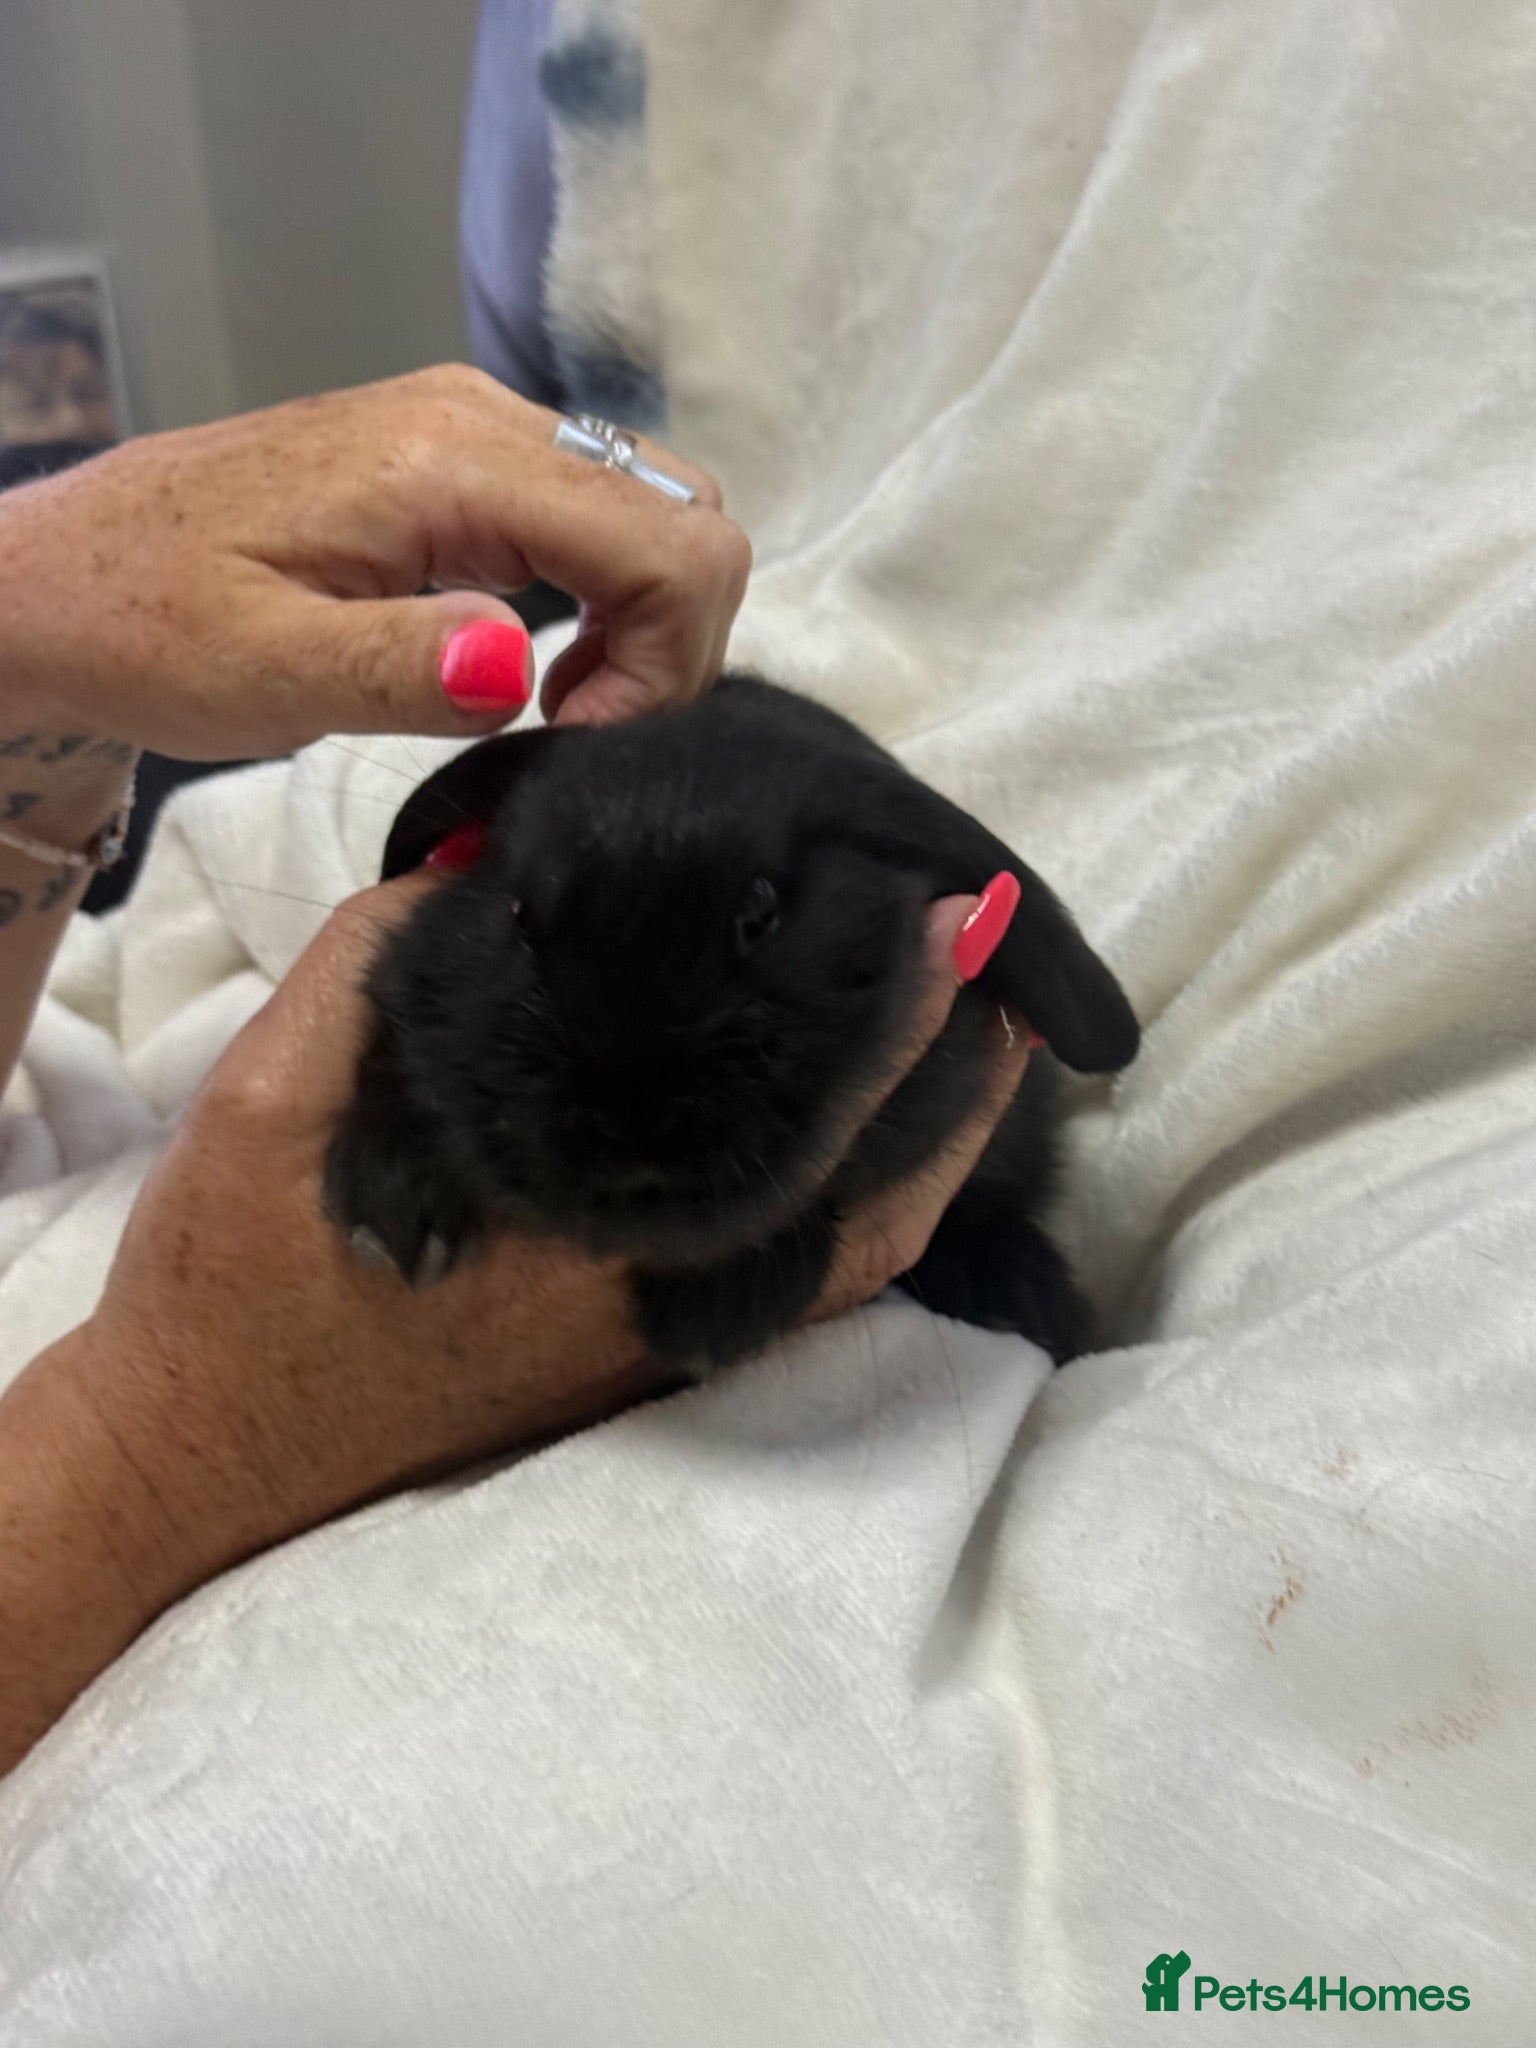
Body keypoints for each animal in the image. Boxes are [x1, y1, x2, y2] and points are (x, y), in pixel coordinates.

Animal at [324, 674, 1139, 1378]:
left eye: (761, 911)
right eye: (522, 917)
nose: (628, 1120)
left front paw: (717, 1311)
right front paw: (392, 1202)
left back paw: (1020, 1296)